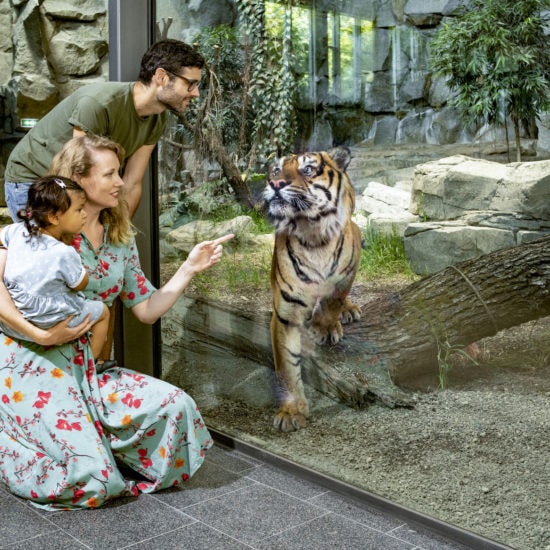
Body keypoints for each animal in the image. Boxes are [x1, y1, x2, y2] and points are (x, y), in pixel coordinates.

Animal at [266, 148, 364, 436]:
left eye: (307, 169)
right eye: (276, 170)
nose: (275, 183)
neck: (313, 234)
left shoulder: (346, 274)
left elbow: (333, 300)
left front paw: (325, 327)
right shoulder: (285, 315)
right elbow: (287, 367)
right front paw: (291, 412)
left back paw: (349, 311)